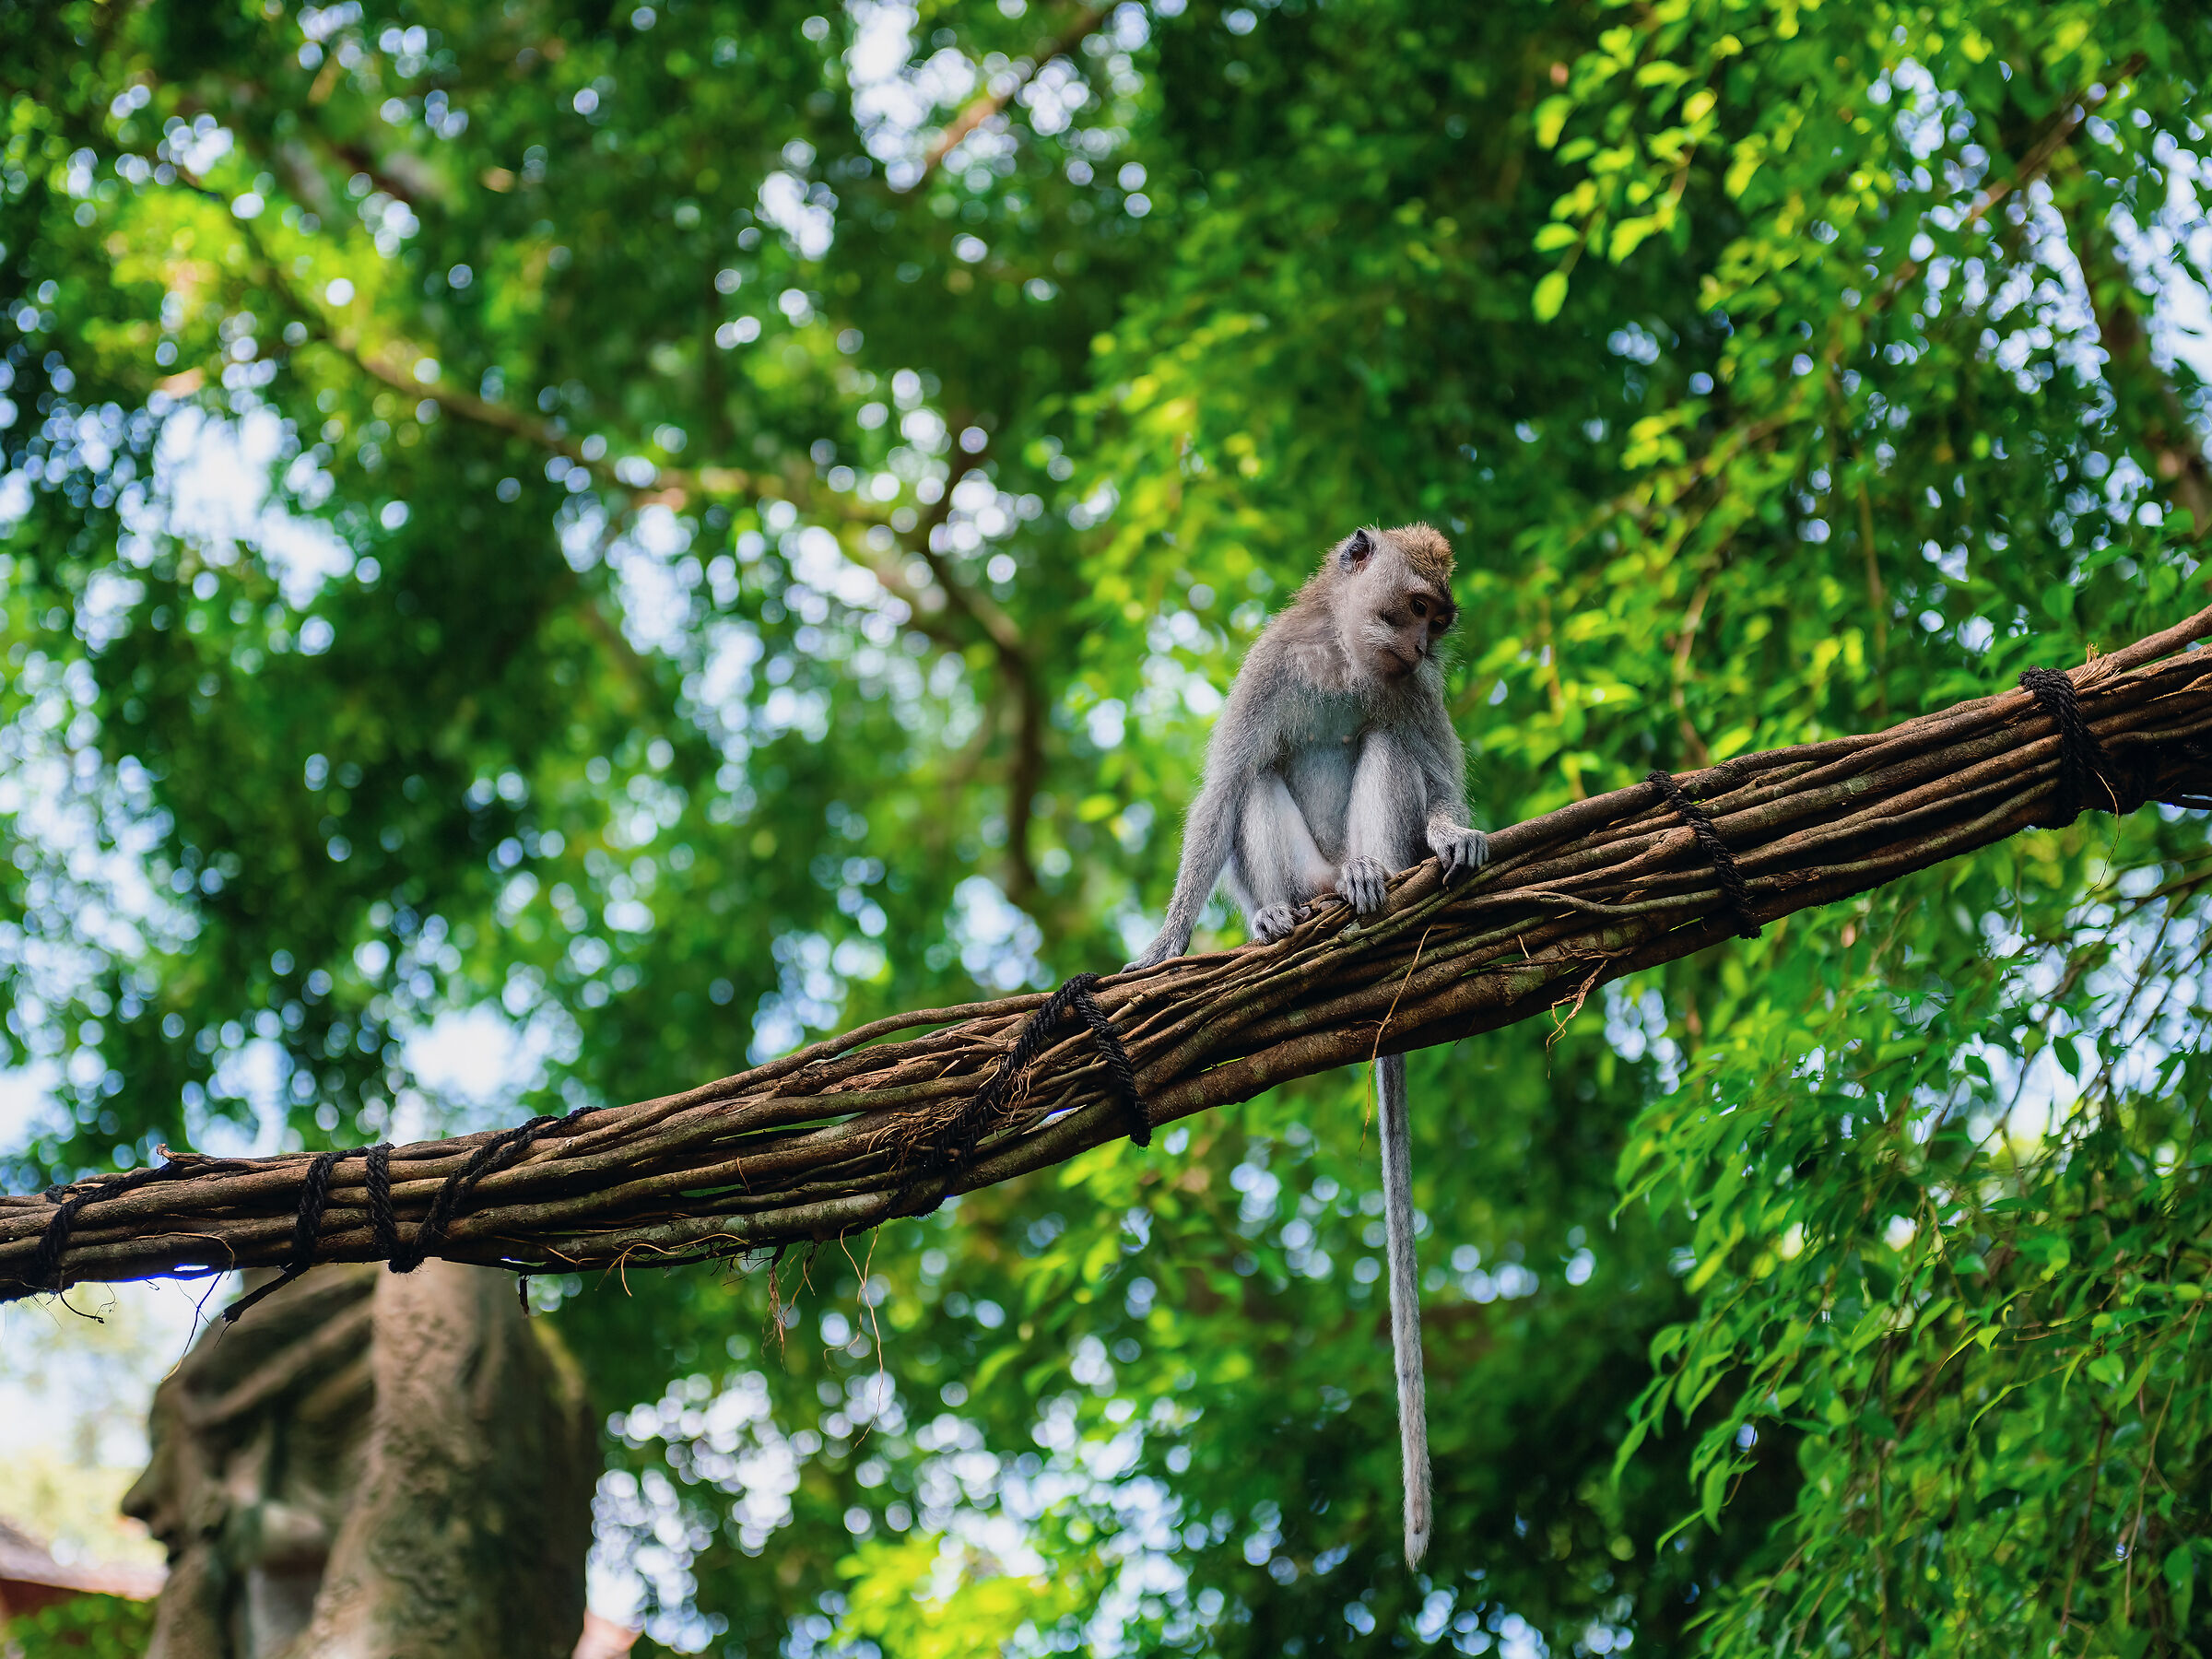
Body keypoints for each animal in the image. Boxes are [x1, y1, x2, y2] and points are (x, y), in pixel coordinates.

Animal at [1126, 522, 1487, 1568]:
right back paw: (1282, 915)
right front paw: (1167, 942)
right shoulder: (1269, 665)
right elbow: (1222, 791)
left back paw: (1371, 876)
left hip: (1374, 826)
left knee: (1388, 753)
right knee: (1256, 787)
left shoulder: (1418, 696)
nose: (1425, 647)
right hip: (1288, 862)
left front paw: (1454, 831)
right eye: (1417, 609)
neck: (1344, 655)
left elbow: (1435, 773)